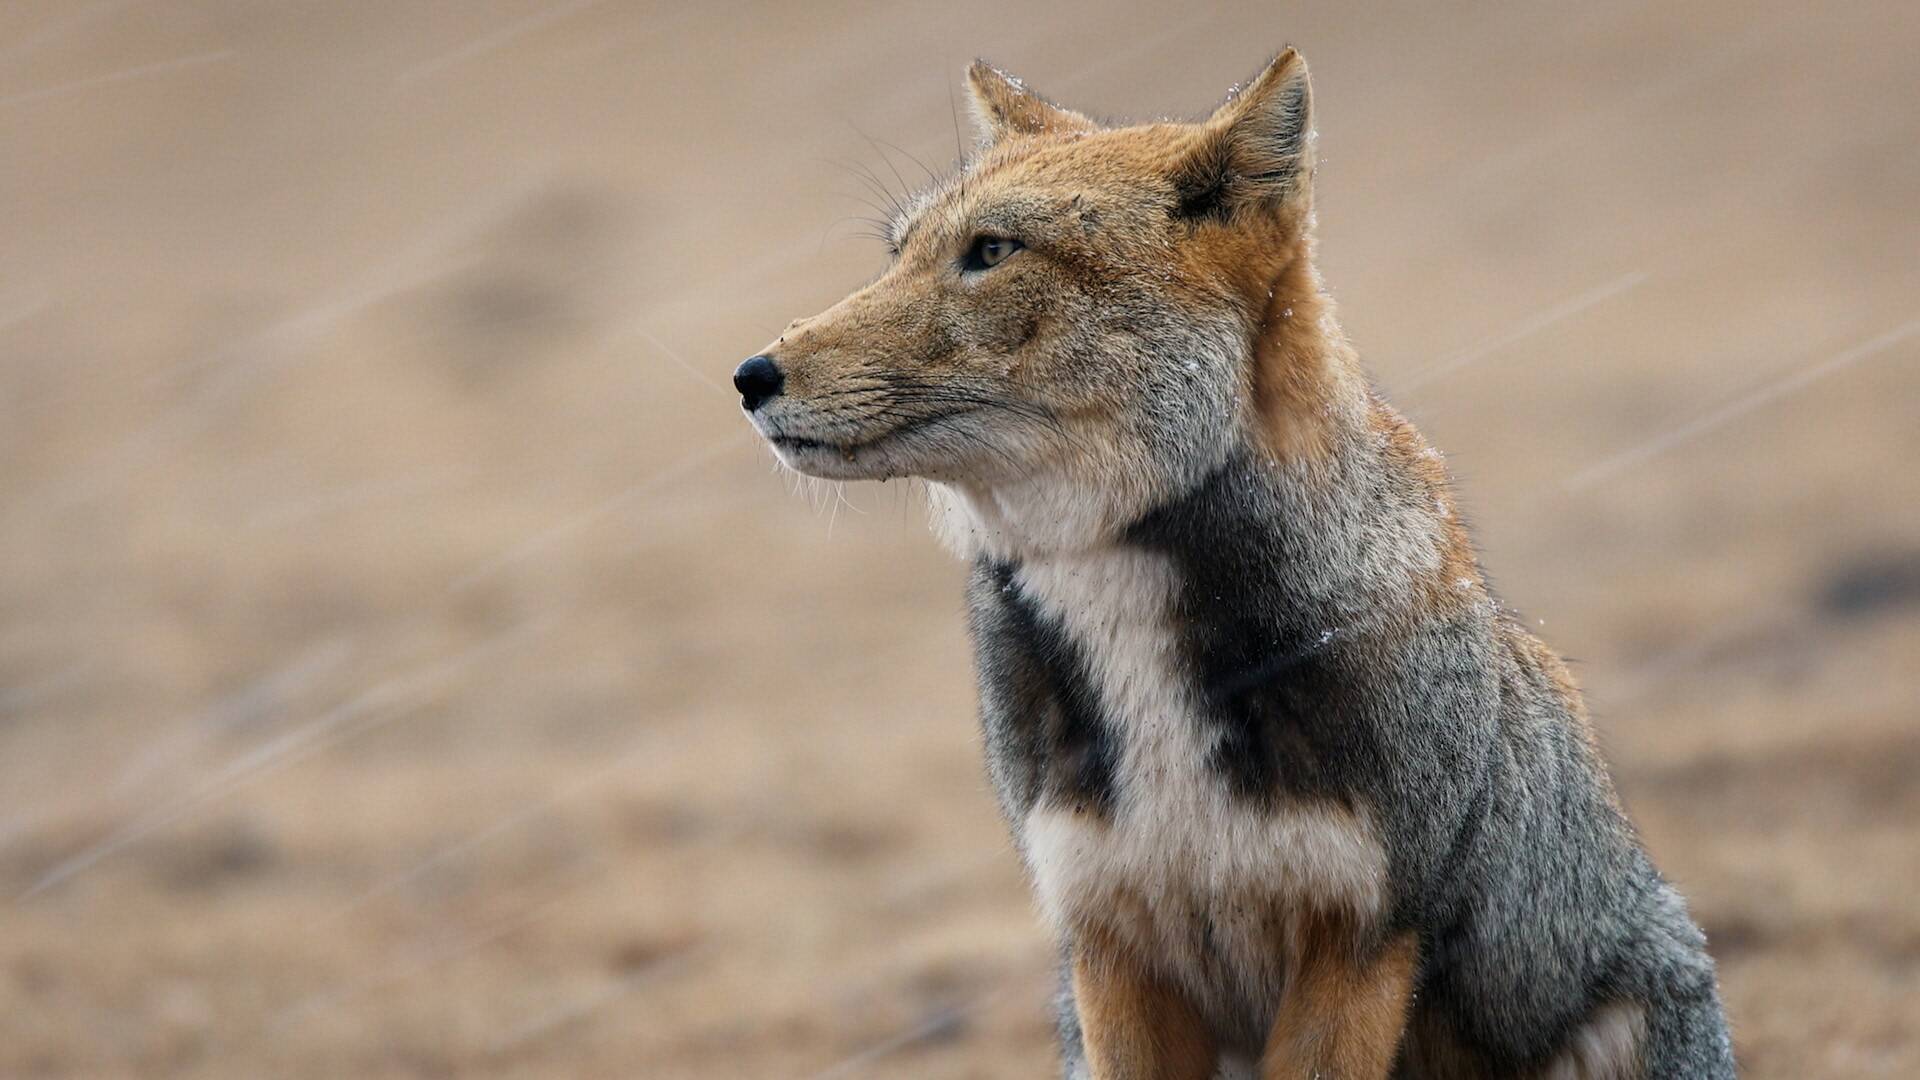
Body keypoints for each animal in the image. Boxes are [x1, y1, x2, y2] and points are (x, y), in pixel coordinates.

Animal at [733, 48, 1743, 1076]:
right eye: (898, 251)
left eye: (990, 252)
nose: (750, 376)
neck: (1134, 641)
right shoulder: (1110, 943)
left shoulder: (1359, 943)